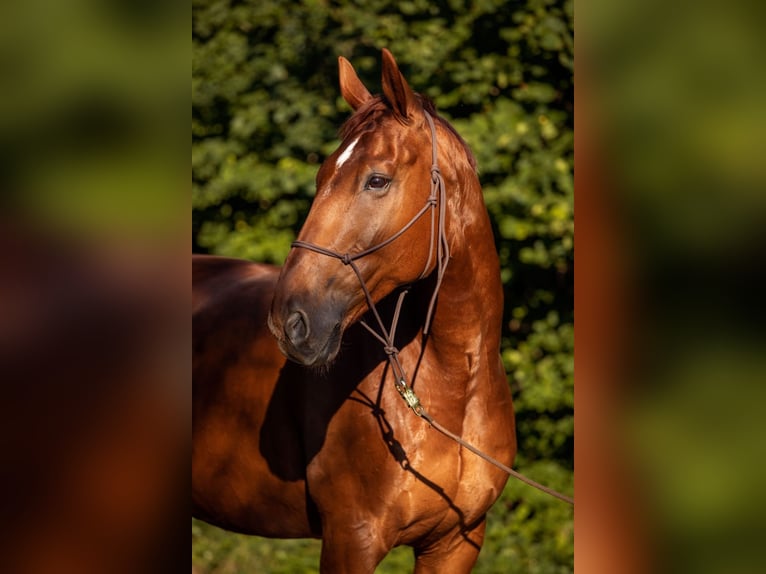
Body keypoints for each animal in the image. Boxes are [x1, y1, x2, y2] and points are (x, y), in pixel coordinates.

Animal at [194, 50, 516, 574]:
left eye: (377, 180)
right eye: (321, 176)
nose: (290, 320)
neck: (453, 388)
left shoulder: (457, 541)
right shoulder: (352, 538)